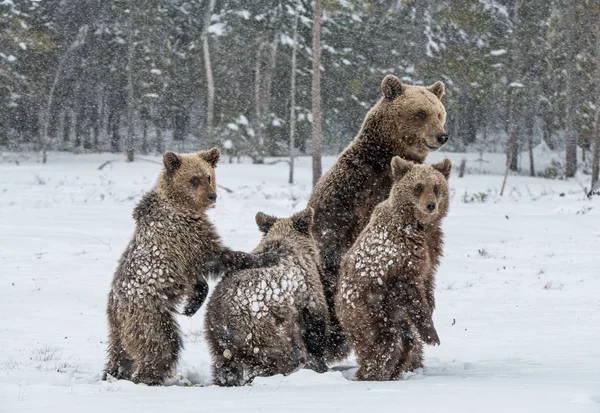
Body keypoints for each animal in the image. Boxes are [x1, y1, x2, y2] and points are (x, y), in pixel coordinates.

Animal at [104, 147, 278, 384]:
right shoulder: (186, 237)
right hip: (148, 315)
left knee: (119, 355)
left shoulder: (186, 254)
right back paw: (148, 377)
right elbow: (218, 256)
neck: (182, 205)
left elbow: (197, 277)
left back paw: (113, 373)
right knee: (161, 346)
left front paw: (192, 302)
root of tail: (115, 310)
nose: (212, 196)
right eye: (194, 179)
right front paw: (266, 256)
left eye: (209, 176)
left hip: (119, 330)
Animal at [205, 208, 328, 384]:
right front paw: (319, 366)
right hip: (259, 327)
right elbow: (315, 332)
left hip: (215, 337)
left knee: (224, 368)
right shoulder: (307, 297)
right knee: (274, 357)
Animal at [338, 157, 450, 380]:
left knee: (406, 343)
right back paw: (372, 373)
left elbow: (428, 279)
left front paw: (432, 304)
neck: (418, 226)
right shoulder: (396, 261)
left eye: (436, 187)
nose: (430, 205)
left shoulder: (432, 248)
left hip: (394, 317)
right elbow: (411, 291)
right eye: (418, 187)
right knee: (383, 344)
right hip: (369, 310)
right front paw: (432, 335)